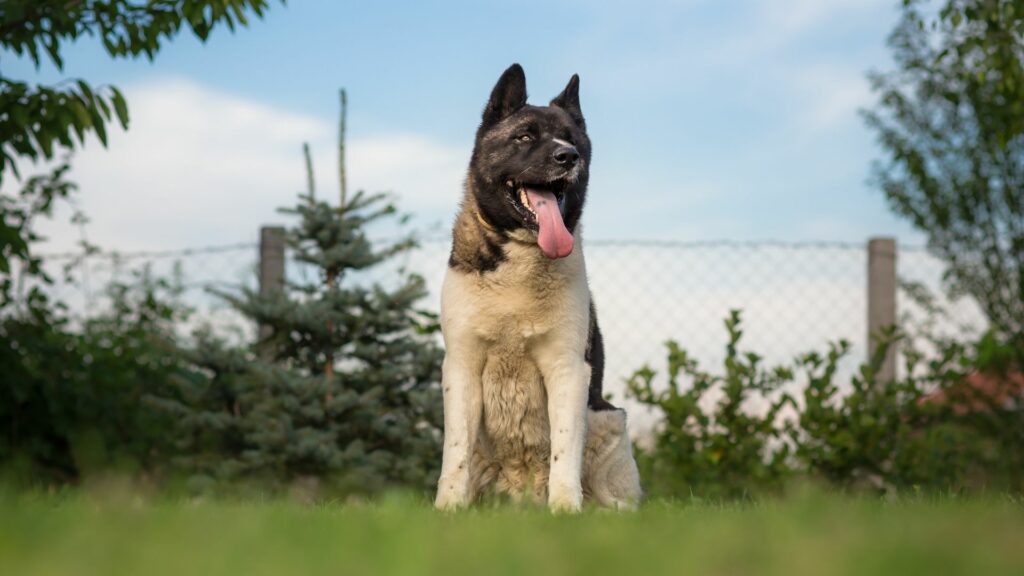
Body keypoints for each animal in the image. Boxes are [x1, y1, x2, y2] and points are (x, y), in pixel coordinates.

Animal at [436, 63, 643, 510]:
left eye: (572, 139)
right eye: (525, 137)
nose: (569, 157)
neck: (520, 262)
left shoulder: (567, 369)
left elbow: (565, 449)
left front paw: (565, 509)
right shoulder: (462, 366)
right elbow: (454, 450)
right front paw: (448, 508)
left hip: (609, 418)